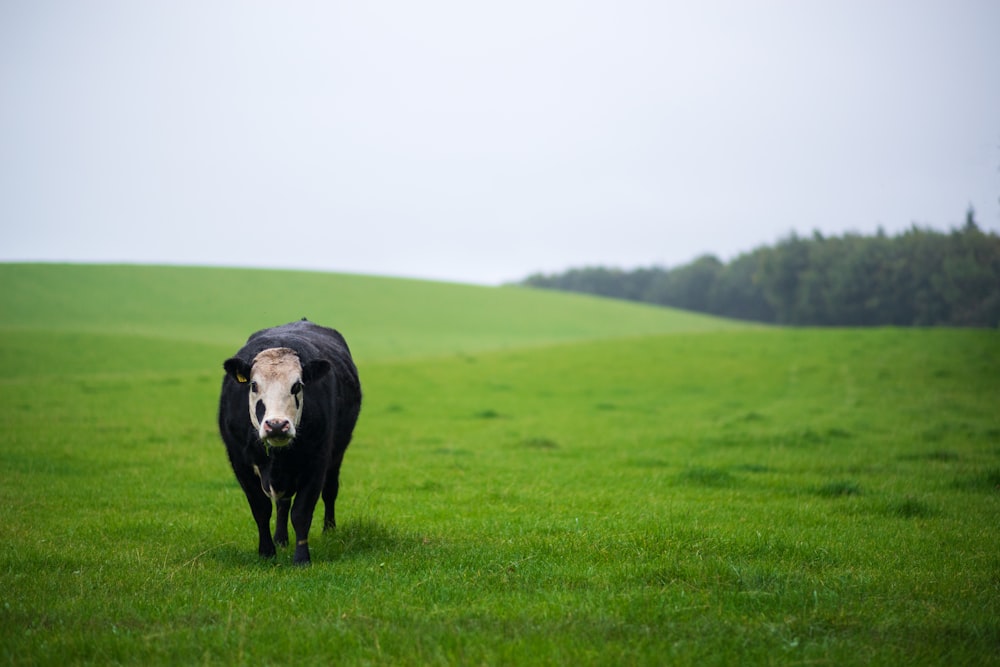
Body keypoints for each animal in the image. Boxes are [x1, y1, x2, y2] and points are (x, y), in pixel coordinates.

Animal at [219, 318, 364, 564]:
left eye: (297, 385)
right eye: (254, 385)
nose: (277, 425)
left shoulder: (317, 461)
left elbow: (302, 513)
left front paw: (302, 558)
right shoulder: (239, 461)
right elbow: (261, 508)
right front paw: (267, 551)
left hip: (337, 454)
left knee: (329, 491)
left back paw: (329, 530)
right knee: (282, 503)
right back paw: (280, 539)